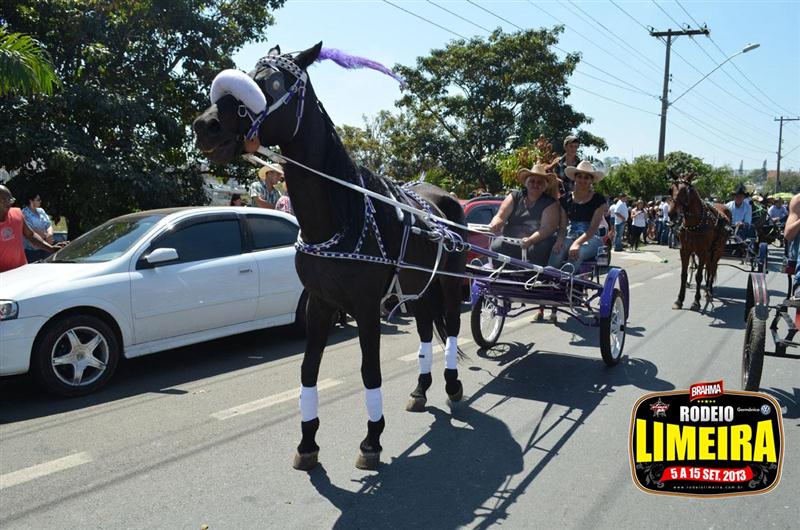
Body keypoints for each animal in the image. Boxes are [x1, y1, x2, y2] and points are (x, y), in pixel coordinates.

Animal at [192, 42, 467, 471]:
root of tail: (444, 198)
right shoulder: (320, 303)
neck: (341, 216)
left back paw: (453, 384)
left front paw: (371, 439)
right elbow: (308, 370)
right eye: (250, 73)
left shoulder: (367, 307)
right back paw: (421, 389)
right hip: (417, 287)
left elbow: (370, 372)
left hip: (451, 282)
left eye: (273, 83)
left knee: (452, 326)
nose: (205, 125)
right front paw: (307, 441)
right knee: (425, 329)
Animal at [668, 175, 731, 310]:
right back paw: (706, 290)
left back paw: (709, 291)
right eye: (670, 189)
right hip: (708, 252)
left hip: (717, 251)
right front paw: (679, 300)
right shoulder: (684, 250)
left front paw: (696, 301)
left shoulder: (702, 252)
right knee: (709, 267)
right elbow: (684, 275)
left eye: (686, 191)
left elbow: (698, 276)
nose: (671, 213)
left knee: (712, 268)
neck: (695, 224)